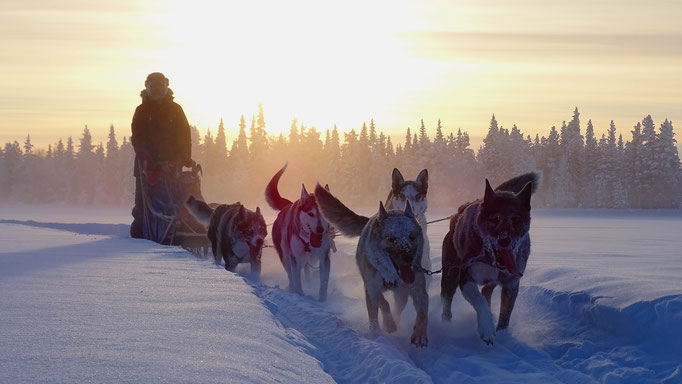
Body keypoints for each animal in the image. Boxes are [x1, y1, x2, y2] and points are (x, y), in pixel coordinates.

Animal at [262, 164, 332, 302]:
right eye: (310, 213)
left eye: (322, 214)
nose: (320, 229)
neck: (308, 241)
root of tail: (288, 205)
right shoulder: (295, 258)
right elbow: (296, 280)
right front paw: (299, 295)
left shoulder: (323, 258)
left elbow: (324, 282)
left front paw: (322, 300)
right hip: (285, 256)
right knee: (290, 274)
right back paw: (291, 287)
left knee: (307, 270)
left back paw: (309, 283)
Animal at [312, 183, 428, 348]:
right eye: (391, 238)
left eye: (412, 236)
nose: (408, 258)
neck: (390, 274)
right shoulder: (371, 287)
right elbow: (382, 305)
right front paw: (380, 330)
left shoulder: (418, 289)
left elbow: (423, 313)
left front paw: (419, 334)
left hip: (401, 293)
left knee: (399, 306)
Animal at [438, 173, 540, 344]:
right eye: (494, 219)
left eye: (516, 221)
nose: (504, 241)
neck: (489, 259)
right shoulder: (465, 278)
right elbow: (479, 301)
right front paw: (486, 328)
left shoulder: (511, 284)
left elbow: (505, 314)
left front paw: (503, 335)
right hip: (450, 273)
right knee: (447, 300)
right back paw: (445, 323)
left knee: (486, 291)